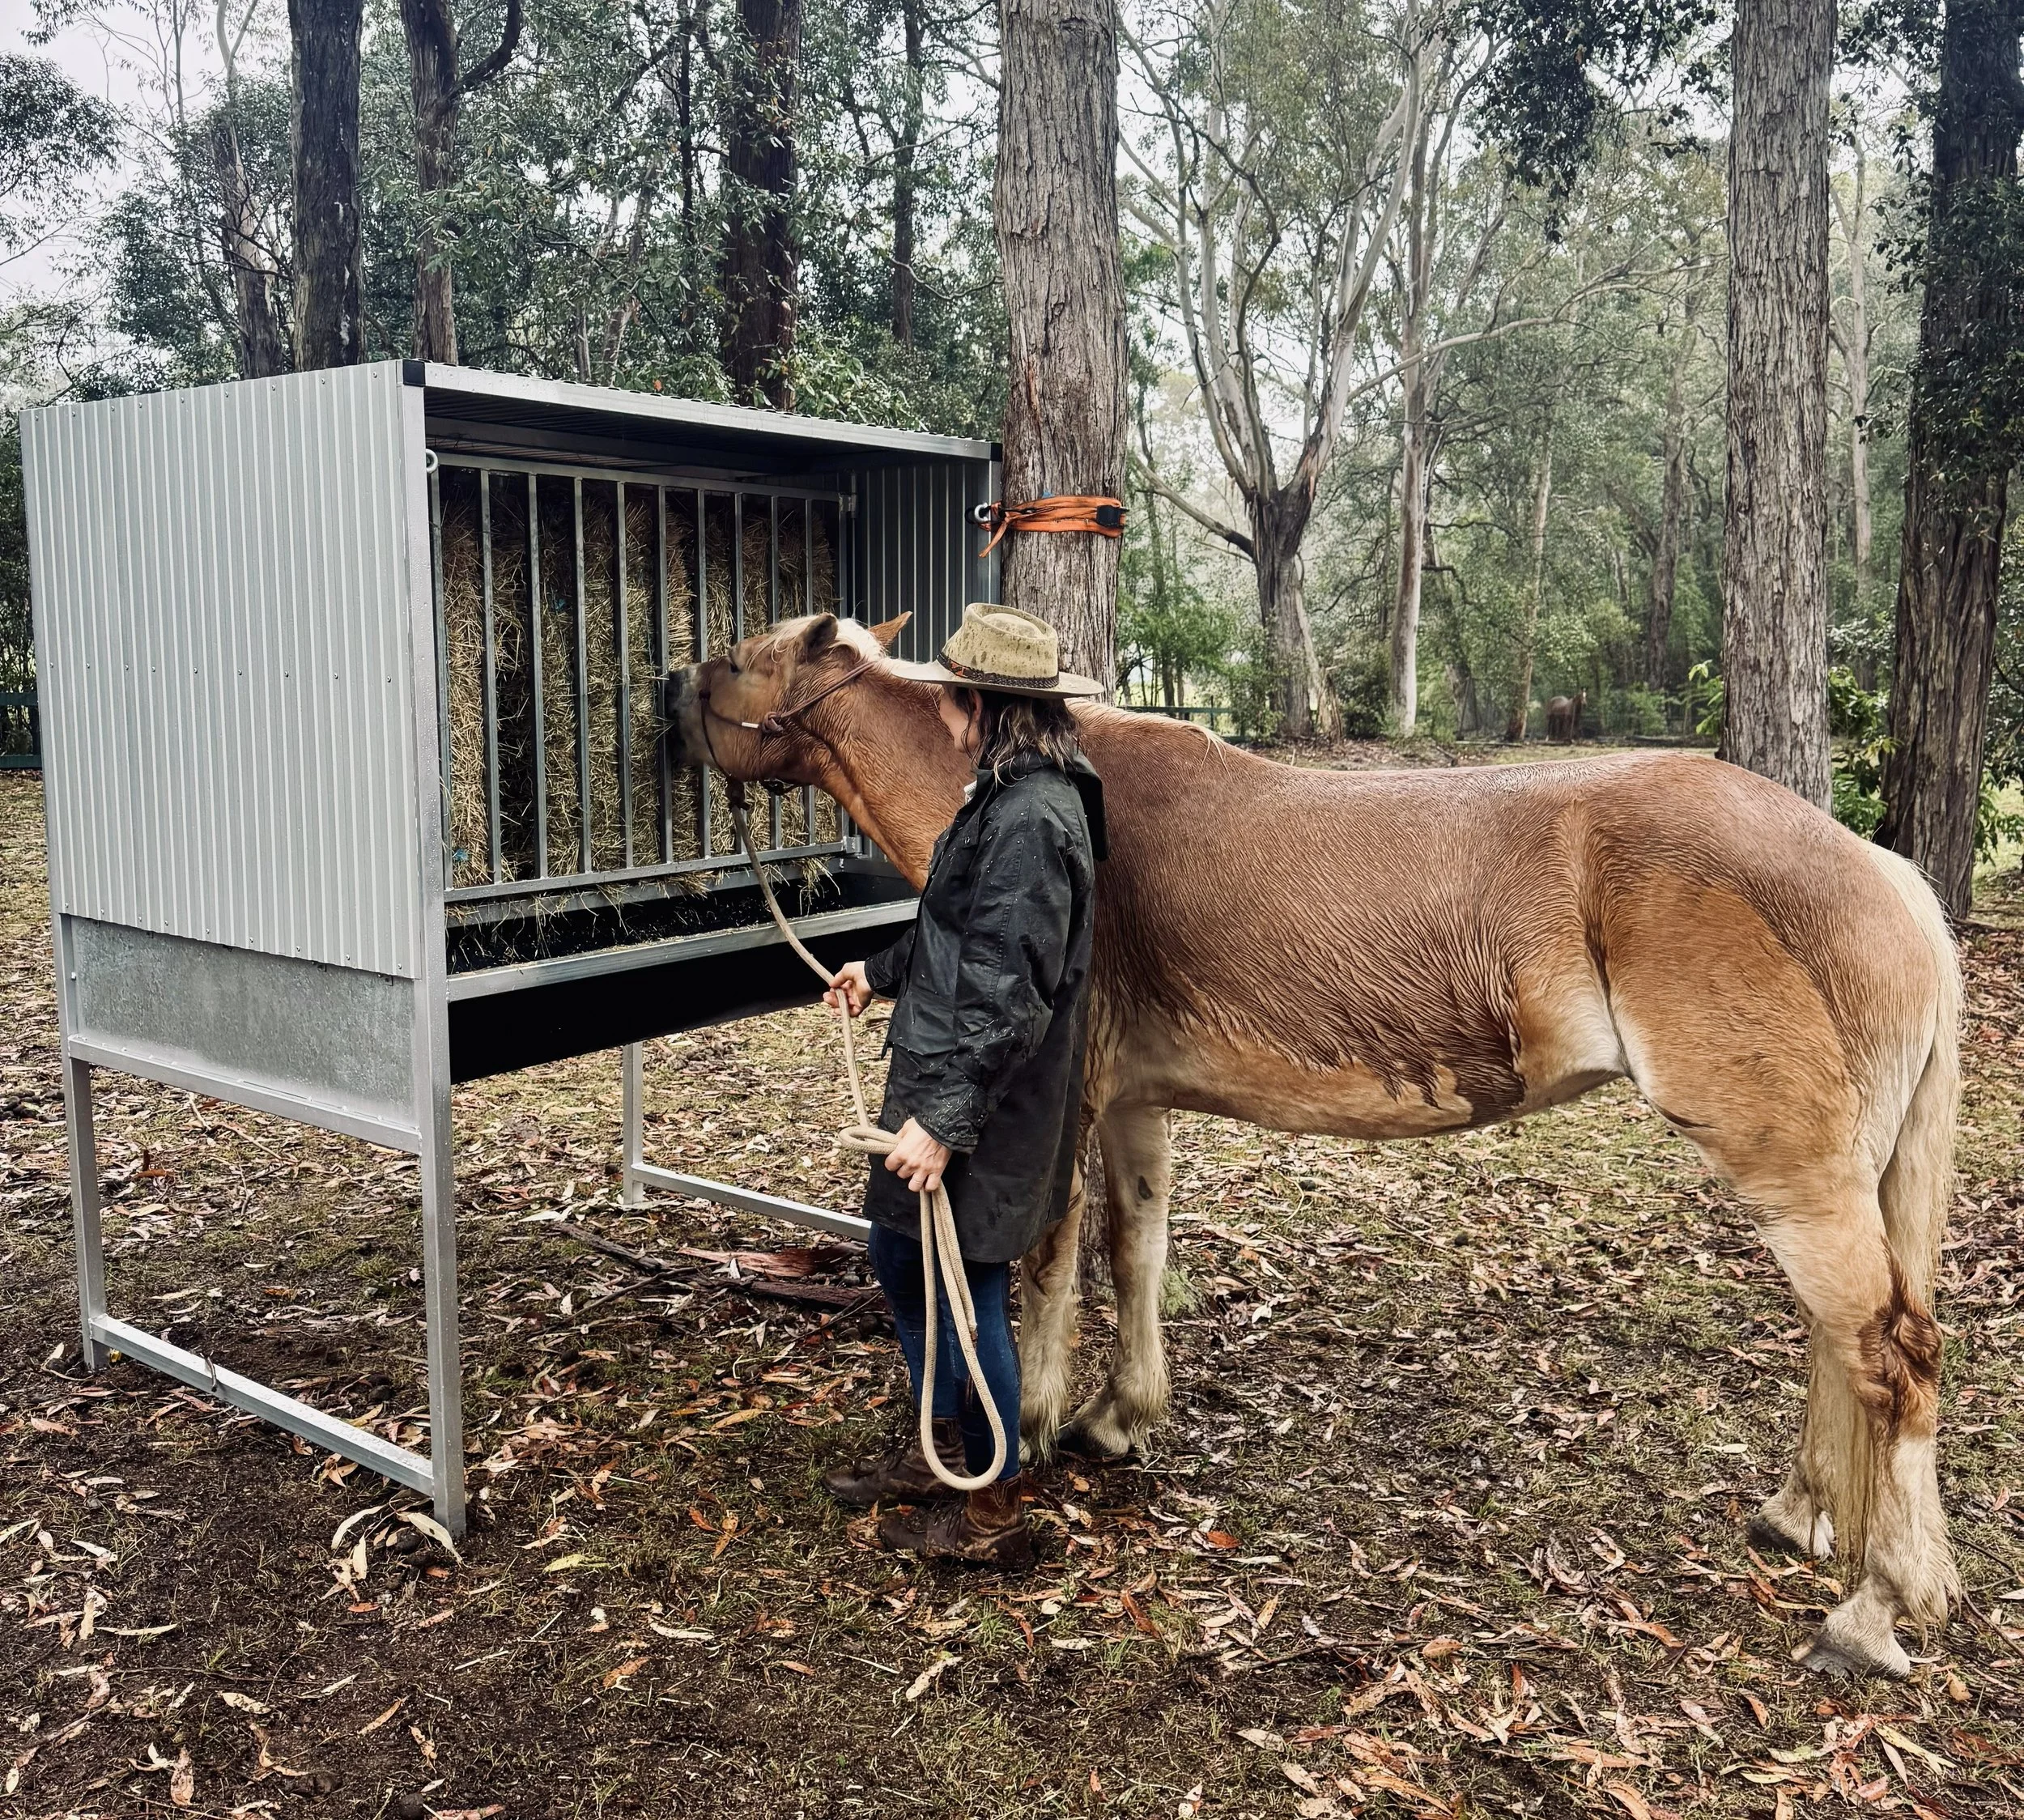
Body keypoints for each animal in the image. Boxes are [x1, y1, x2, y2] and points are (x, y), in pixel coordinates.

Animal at [663, 612, 1962, 1679]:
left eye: (743, 654)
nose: (673, 689)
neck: (1055, 781)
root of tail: (1885, 872)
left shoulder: (1069, 1095)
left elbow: (1045, 1263)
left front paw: (1022, 1427)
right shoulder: (1136, 1102)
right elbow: (1136, 1247)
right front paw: (1122, 1416)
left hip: (1791, 1171)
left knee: (1890, 1356)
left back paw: (1877, 1609)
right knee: (1838, 1344)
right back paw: (1801, 1512)